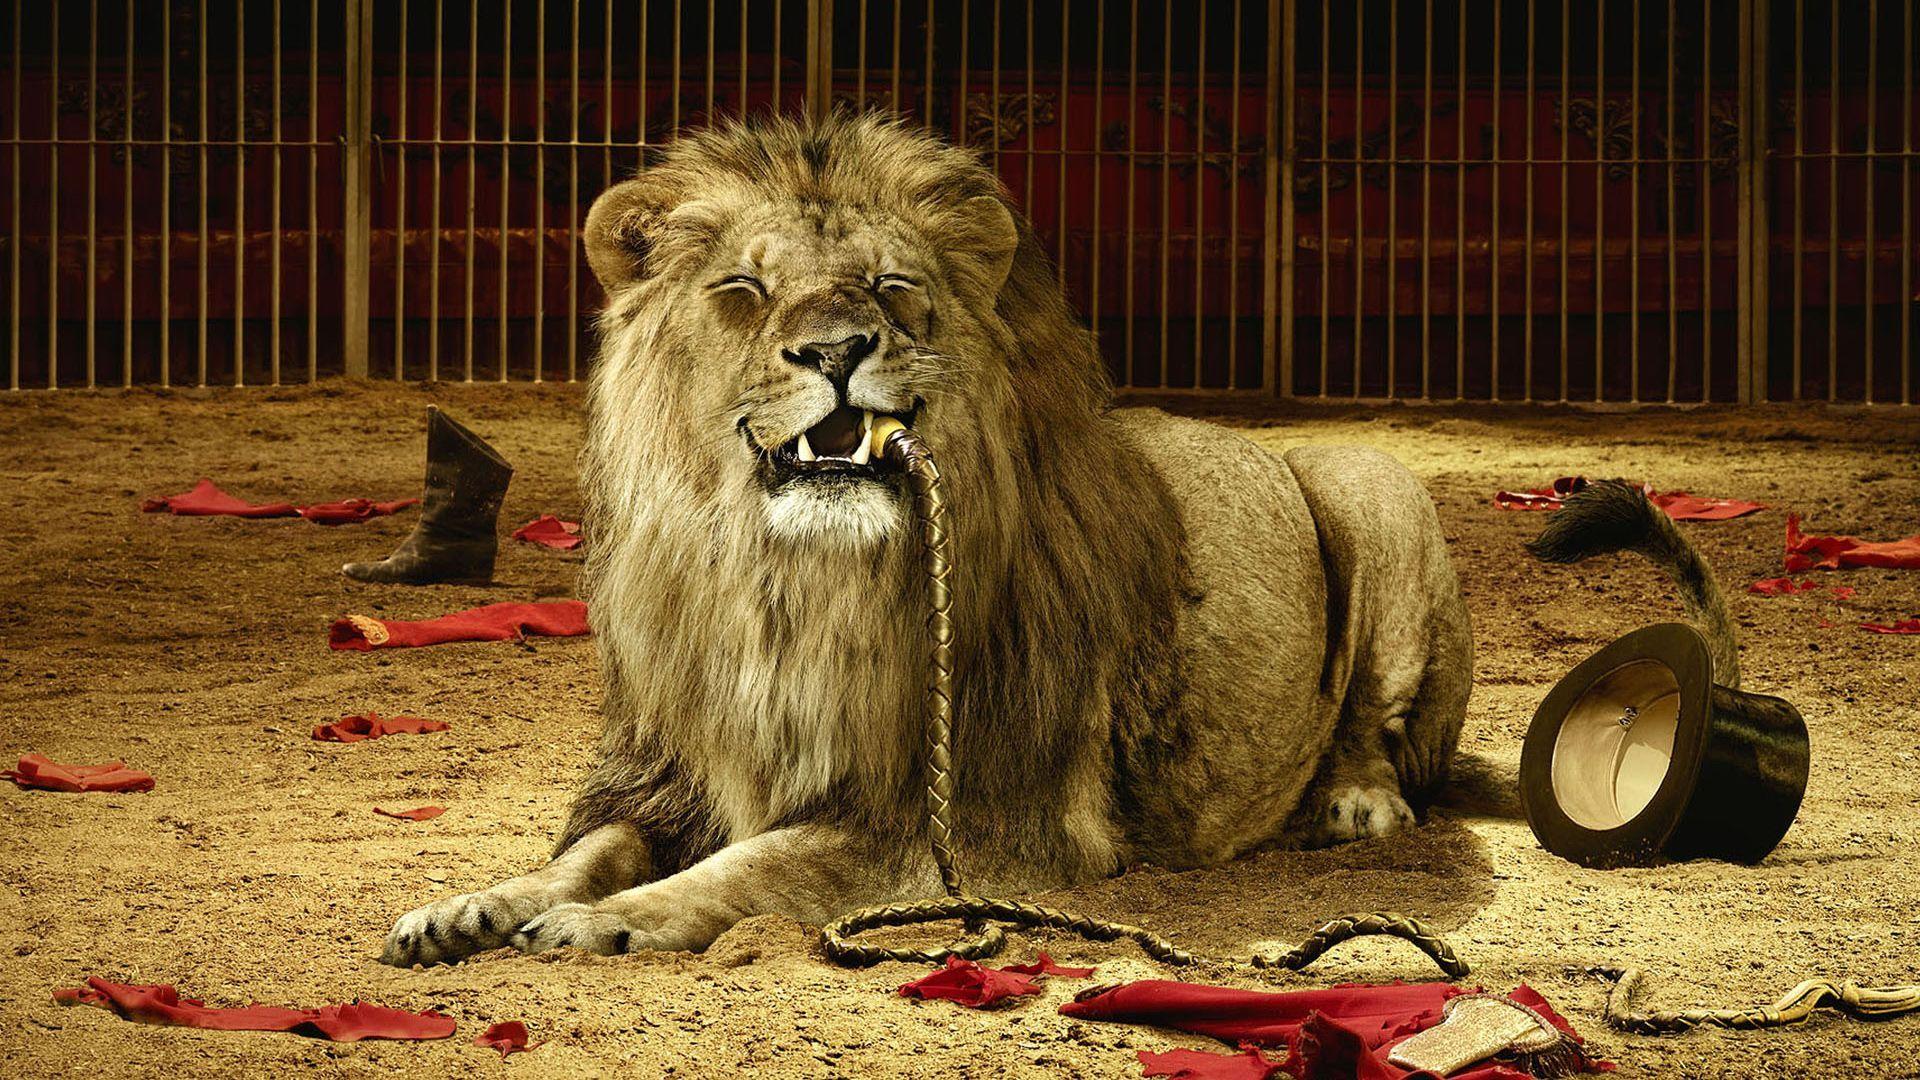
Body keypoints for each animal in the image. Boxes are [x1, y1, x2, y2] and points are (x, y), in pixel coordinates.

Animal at [381, 114, 1471, 966]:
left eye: (891, 284)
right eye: (743, 289)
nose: (835, 349)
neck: (788, 586)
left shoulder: (978, 822)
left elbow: (757, 866)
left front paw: (607, 921)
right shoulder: (671, 774)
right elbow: (587, 852)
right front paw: (472, 907)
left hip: (1368, 481)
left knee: (1376, 719)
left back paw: (1357, 807)